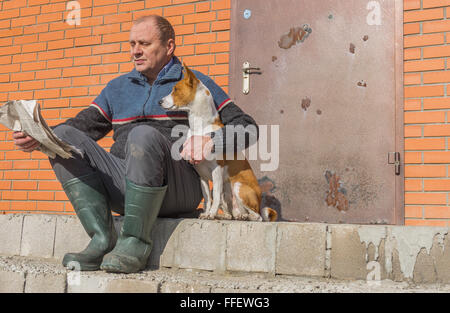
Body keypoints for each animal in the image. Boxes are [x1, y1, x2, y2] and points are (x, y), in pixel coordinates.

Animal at [159, 63, 278, 221]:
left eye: (175, 89)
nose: (159, 101)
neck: (200, 126)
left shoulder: (216, 170)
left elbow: (214, 195)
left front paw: (211, 214)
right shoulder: (202, 176)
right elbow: (207, 198)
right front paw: (207, 213)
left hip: (238, 186)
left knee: (257, 216)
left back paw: (245, 217)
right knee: (232, 211)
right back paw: (227, 216)